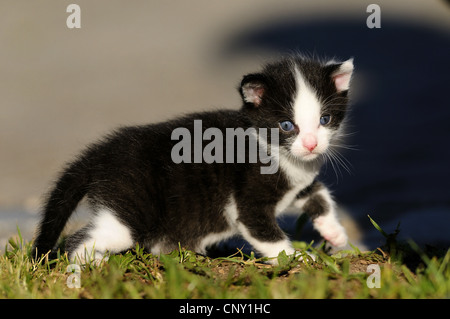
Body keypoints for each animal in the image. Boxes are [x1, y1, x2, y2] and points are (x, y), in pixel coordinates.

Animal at [32, 55, 356, 264]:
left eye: (325, 120)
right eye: (287, 125)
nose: (311, 144)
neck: (272, 149)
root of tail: (99, 153)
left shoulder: (298, 183)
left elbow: (319, 194)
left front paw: (335, 233)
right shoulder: (248, 203)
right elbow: (268, 236)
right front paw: (299, 257)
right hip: (129, 212)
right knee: (78, 240)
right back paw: (85, 269)